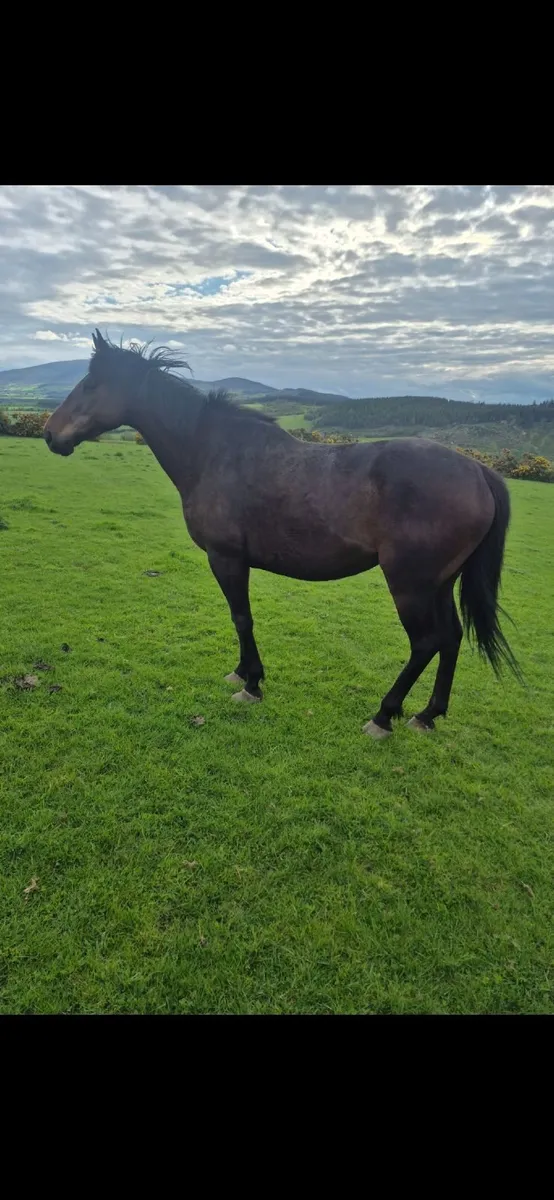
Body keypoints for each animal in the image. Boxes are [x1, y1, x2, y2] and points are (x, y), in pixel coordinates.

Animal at [44, 330, 520, 739]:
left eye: (91, 384)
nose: (50, 434)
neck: (212, 451)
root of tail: (478, 472)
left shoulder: (226, 557)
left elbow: (242, 617)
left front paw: (252, 684)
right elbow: (238, 618)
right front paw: (240, 672)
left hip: (410, 585)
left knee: (425, 643)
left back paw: (384, 715)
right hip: (439, 584)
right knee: (451, 638)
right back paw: (427, 714)